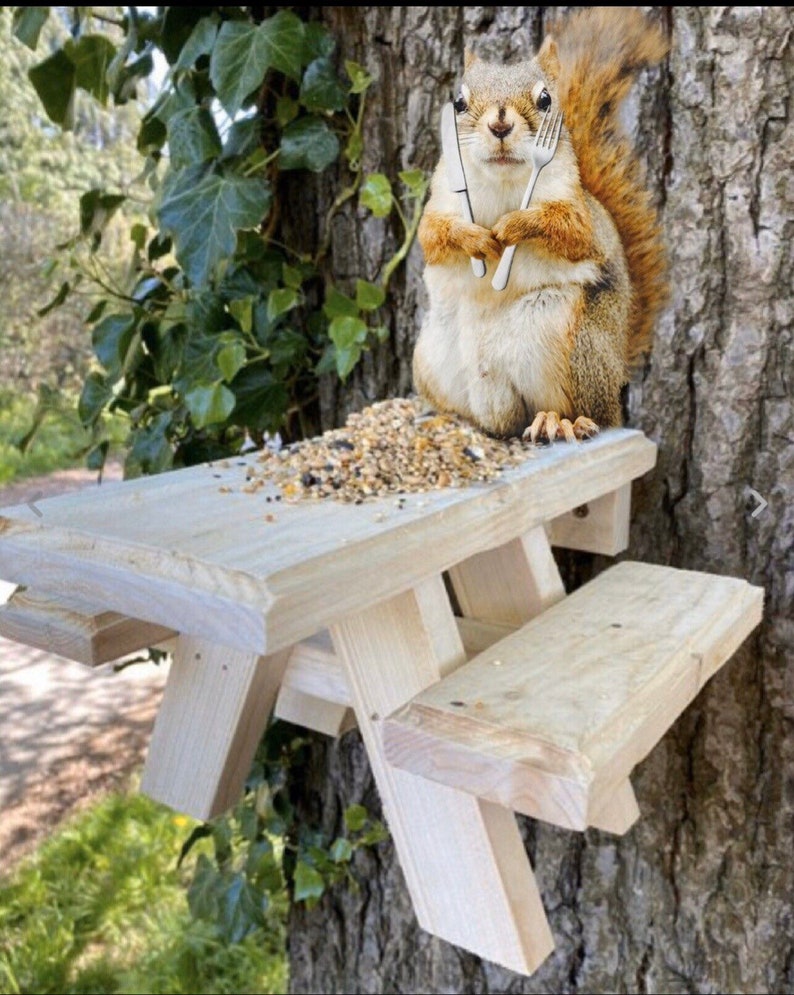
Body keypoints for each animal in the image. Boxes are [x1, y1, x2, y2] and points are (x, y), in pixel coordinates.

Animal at [412, 7, 669, 443]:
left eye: (546, 98)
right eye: (459, 102)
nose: (500, 126)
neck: (501, 182)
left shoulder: (577, 212)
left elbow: (567, 230)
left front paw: (511, 227)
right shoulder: (441, 199)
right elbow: (432, 236)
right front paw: (474, 237)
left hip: (568, 343)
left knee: (585, 412)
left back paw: (560, 421)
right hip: (431, 355)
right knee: (496, 422)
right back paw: (447, 420)